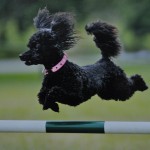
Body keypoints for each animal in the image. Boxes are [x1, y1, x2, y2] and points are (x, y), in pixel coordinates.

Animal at [19, 7, 148, 112]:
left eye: (36, 46)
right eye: (29, 45)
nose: (20, 56)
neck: (58, 70)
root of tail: (105, 59)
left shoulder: (75, 96)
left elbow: (54, 91)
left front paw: (51, 105)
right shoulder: (45, 91)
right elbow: (41, 96)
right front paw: (52, 106)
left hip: (120, 88)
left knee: (132, 83)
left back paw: (143, 84)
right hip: (107, 93)